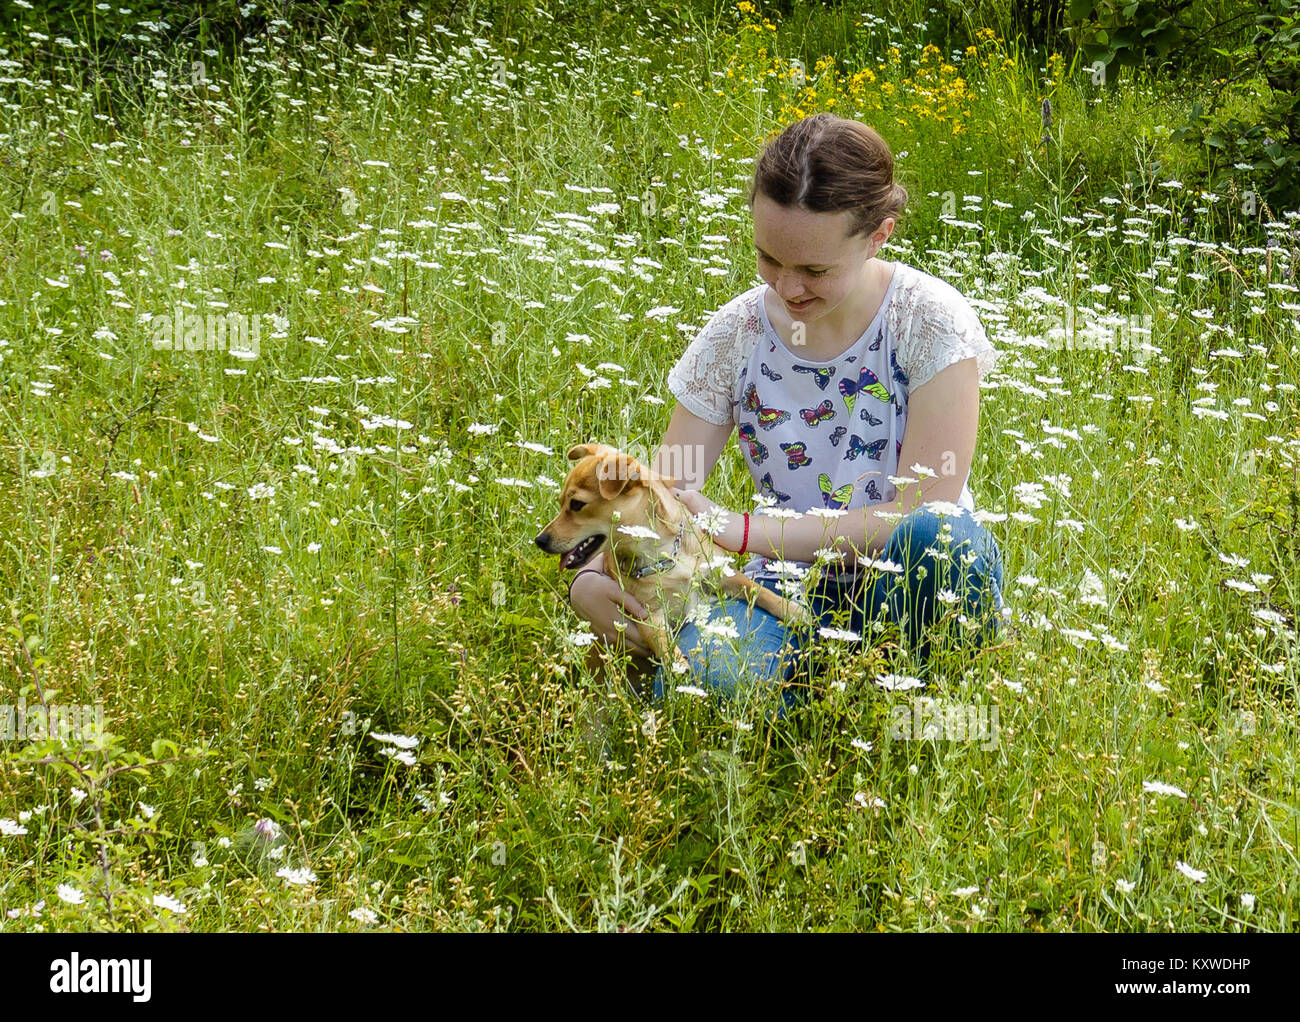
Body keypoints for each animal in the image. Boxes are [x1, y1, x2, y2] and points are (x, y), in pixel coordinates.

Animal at [533, 439, 806, 670]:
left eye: (576, 504)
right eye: (560, 502)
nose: (540, 540)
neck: (664, 555)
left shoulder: (721, 574)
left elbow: (758, 591)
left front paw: (793, 611)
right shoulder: (648, 613)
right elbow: (660, 640)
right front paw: (676, 665)